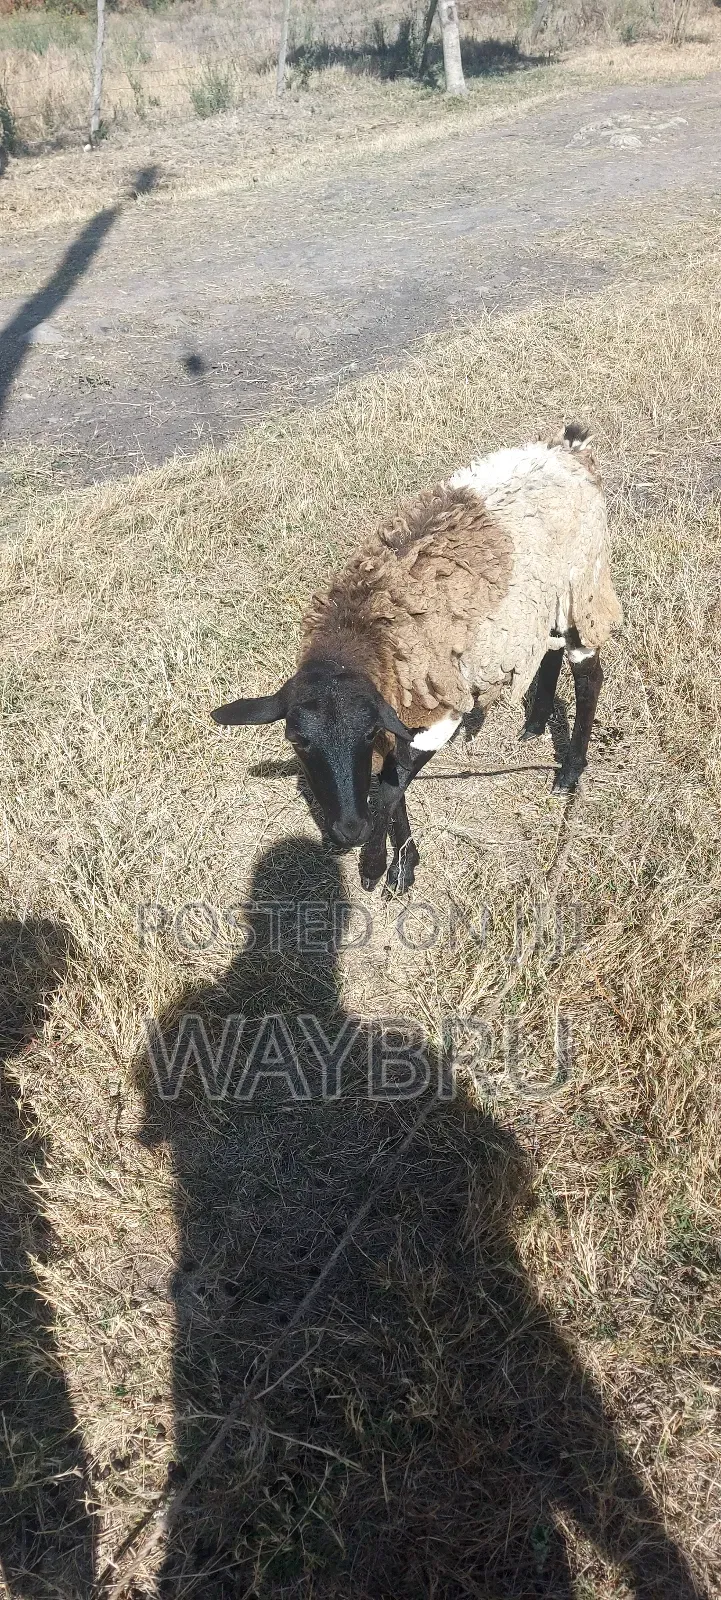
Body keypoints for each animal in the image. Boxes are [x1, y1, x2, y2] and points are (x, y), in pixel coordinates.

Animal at [212, 424, 622, 894]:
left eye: (366, 732)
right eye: (296, 740)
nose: (348, 831)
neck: (360, 631)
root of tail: (568, 449)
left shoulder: (438, 709)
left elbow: (391, 788)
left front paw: (377, 867)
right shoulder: (399, 707)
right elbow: (394, 781)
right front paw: (404, 861)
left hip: (584, 583)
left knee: (589, 674)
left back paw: (570, 773)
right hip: (542, 600)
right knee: (547, 650)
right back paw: (535, 723)